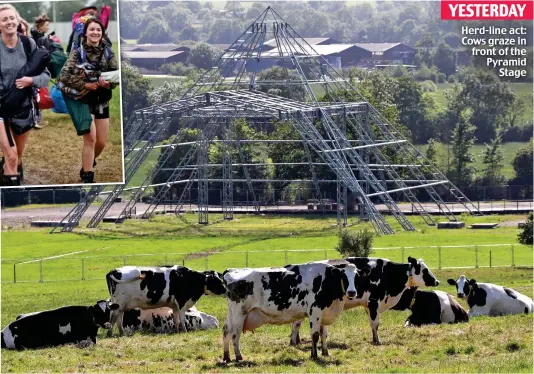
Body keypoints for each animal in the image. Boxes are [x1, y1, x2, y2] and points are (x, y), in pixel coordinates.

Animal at [222, 262, 368, 360]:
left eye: (357, 276)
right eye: (343, 276)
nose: (352, 292)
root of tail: (231, 271)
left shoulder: (324, 313)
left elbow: (324, 334)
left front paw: (325, 353)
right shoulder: (314, 312)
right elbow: (315, 335)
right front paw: (314, 355)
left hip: (231, 313)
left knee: (226, 331)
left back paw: (227, 357)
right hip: (240, 313)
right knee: (235, 334)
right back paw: (239, 357)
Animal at [292, 256, 442, 346]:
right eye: (425, 270)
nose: (437, 281)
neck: (387, 273)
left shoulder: (368, 305)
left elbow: (372, 323)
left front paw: (374, 339)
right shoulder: (374, 302)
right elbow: (375, 323)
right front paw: (377, 341)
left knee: (296, 323)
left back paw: (296, 342)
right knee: (296, 324)